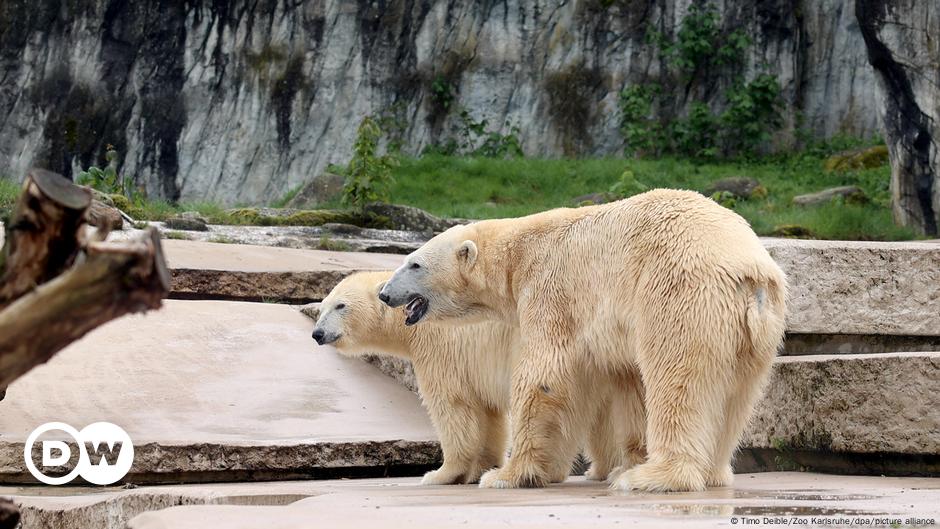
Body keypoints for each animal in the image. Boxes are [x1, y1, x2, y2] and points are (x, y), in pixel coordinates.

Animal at [310, 272, 648, 482]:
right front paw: (479, 468)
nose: (317, 334)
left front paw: (442, 474)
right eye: (322, 307)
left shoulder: (441, 348)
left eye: (341, 305)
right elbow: (489, 415)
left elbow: (454, 407)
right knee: (603, 414)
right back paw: (599, 469)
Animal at [378, 189, 788, 490]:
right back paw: (711, 473)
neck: (517, 252)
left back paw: (653, 477)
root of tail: (749, 272)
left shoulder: (549, 289)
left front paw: (506, 475)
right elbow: (626, 382)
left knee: (679, 381)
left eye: (414, 263)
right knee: (737, 397)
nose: (384, 293)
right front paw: (615, 462)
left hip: (680, 293)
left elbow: (544, 376)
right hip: (758, 332)